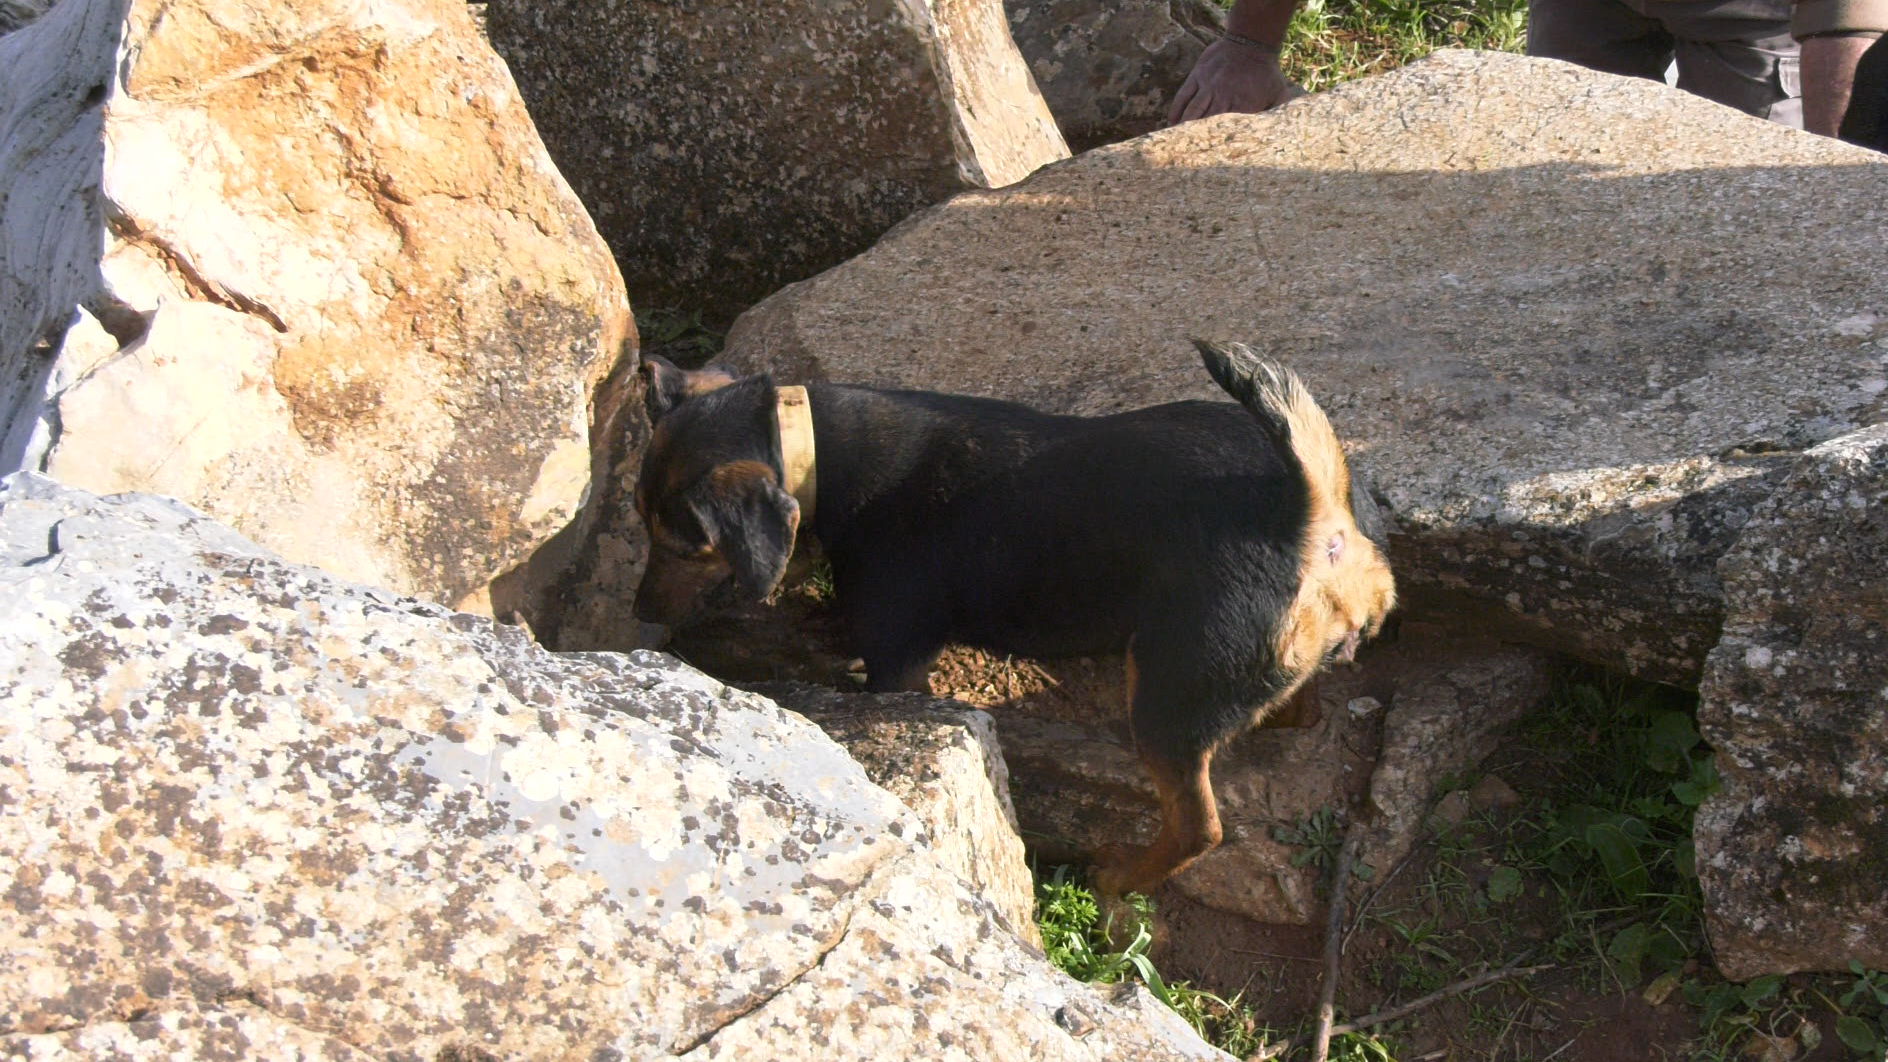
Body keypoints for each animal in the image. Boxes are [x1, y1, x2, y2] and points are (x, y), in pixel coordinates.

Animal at [634, 340, 1389, 891]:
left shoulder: (899, 664)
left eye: (682, 546)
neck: (817, 447)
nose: (639, 610)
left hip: (1168, 694)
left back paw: (1121, 880)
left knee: (1196, 826)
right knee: (1297, 702)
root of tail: (1307, 512)